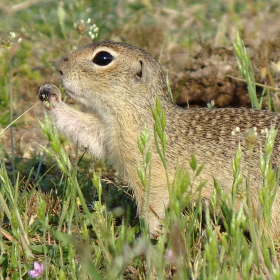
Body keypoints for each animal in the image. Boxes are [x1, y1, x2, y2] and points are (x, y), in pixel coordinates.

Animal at [38, 41, 280, 238]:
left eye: (103, 58)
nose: (58, 65)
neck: (140, 112)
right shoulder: (107, 133)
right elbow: (85, 131)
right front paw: (50, 94)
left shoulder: (152, 172)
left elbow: (152, 203)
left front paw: (153, 233)